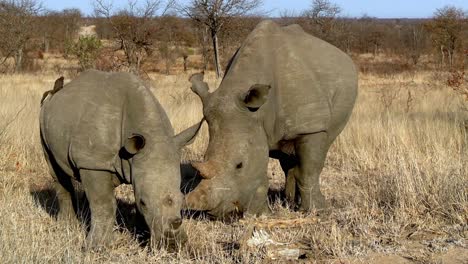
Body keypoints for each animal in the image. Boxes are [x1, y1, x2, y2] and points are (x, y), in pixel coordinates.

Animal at [39, 70, 200, 250]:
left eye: (182, 199)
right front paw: (97, 247)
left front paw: (142, 237)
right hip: (43, 120)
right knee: (56, 171)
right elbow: (104, 203)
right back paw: (67, 226)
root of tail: (55, 93)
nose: (172, 245)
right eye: (144, 202)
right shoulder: (94, 162)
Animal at [186, 20, 358, 218]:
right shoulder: (254, 125)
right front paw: (262, 214)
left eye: (239, 165)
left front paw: (317, 211)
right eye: (203, 158)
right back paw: (289, 201)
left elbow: (309, 170)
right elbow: (260, 170)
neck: (259, 112)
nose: (216, 213)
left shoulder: (311, 126)